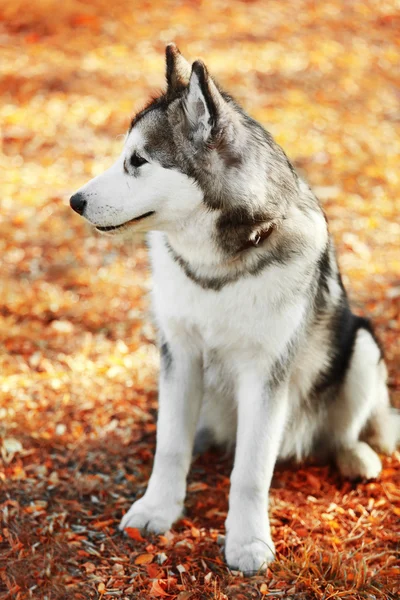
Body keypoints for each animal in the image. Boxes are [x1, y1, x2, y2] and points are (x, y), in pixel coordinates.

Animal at [69, 44, 400, 576]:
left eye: (137, 161)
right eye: (124, 157)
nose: (74, 201)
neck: (216, 270)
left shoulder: (266, 373)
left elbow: (250, 472)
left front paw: (247, 541)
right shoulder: (179, 355)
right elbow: (170, 446)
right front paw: (158, 509)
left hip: (363, 347)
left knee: (345, 430)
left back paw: (356, 457)